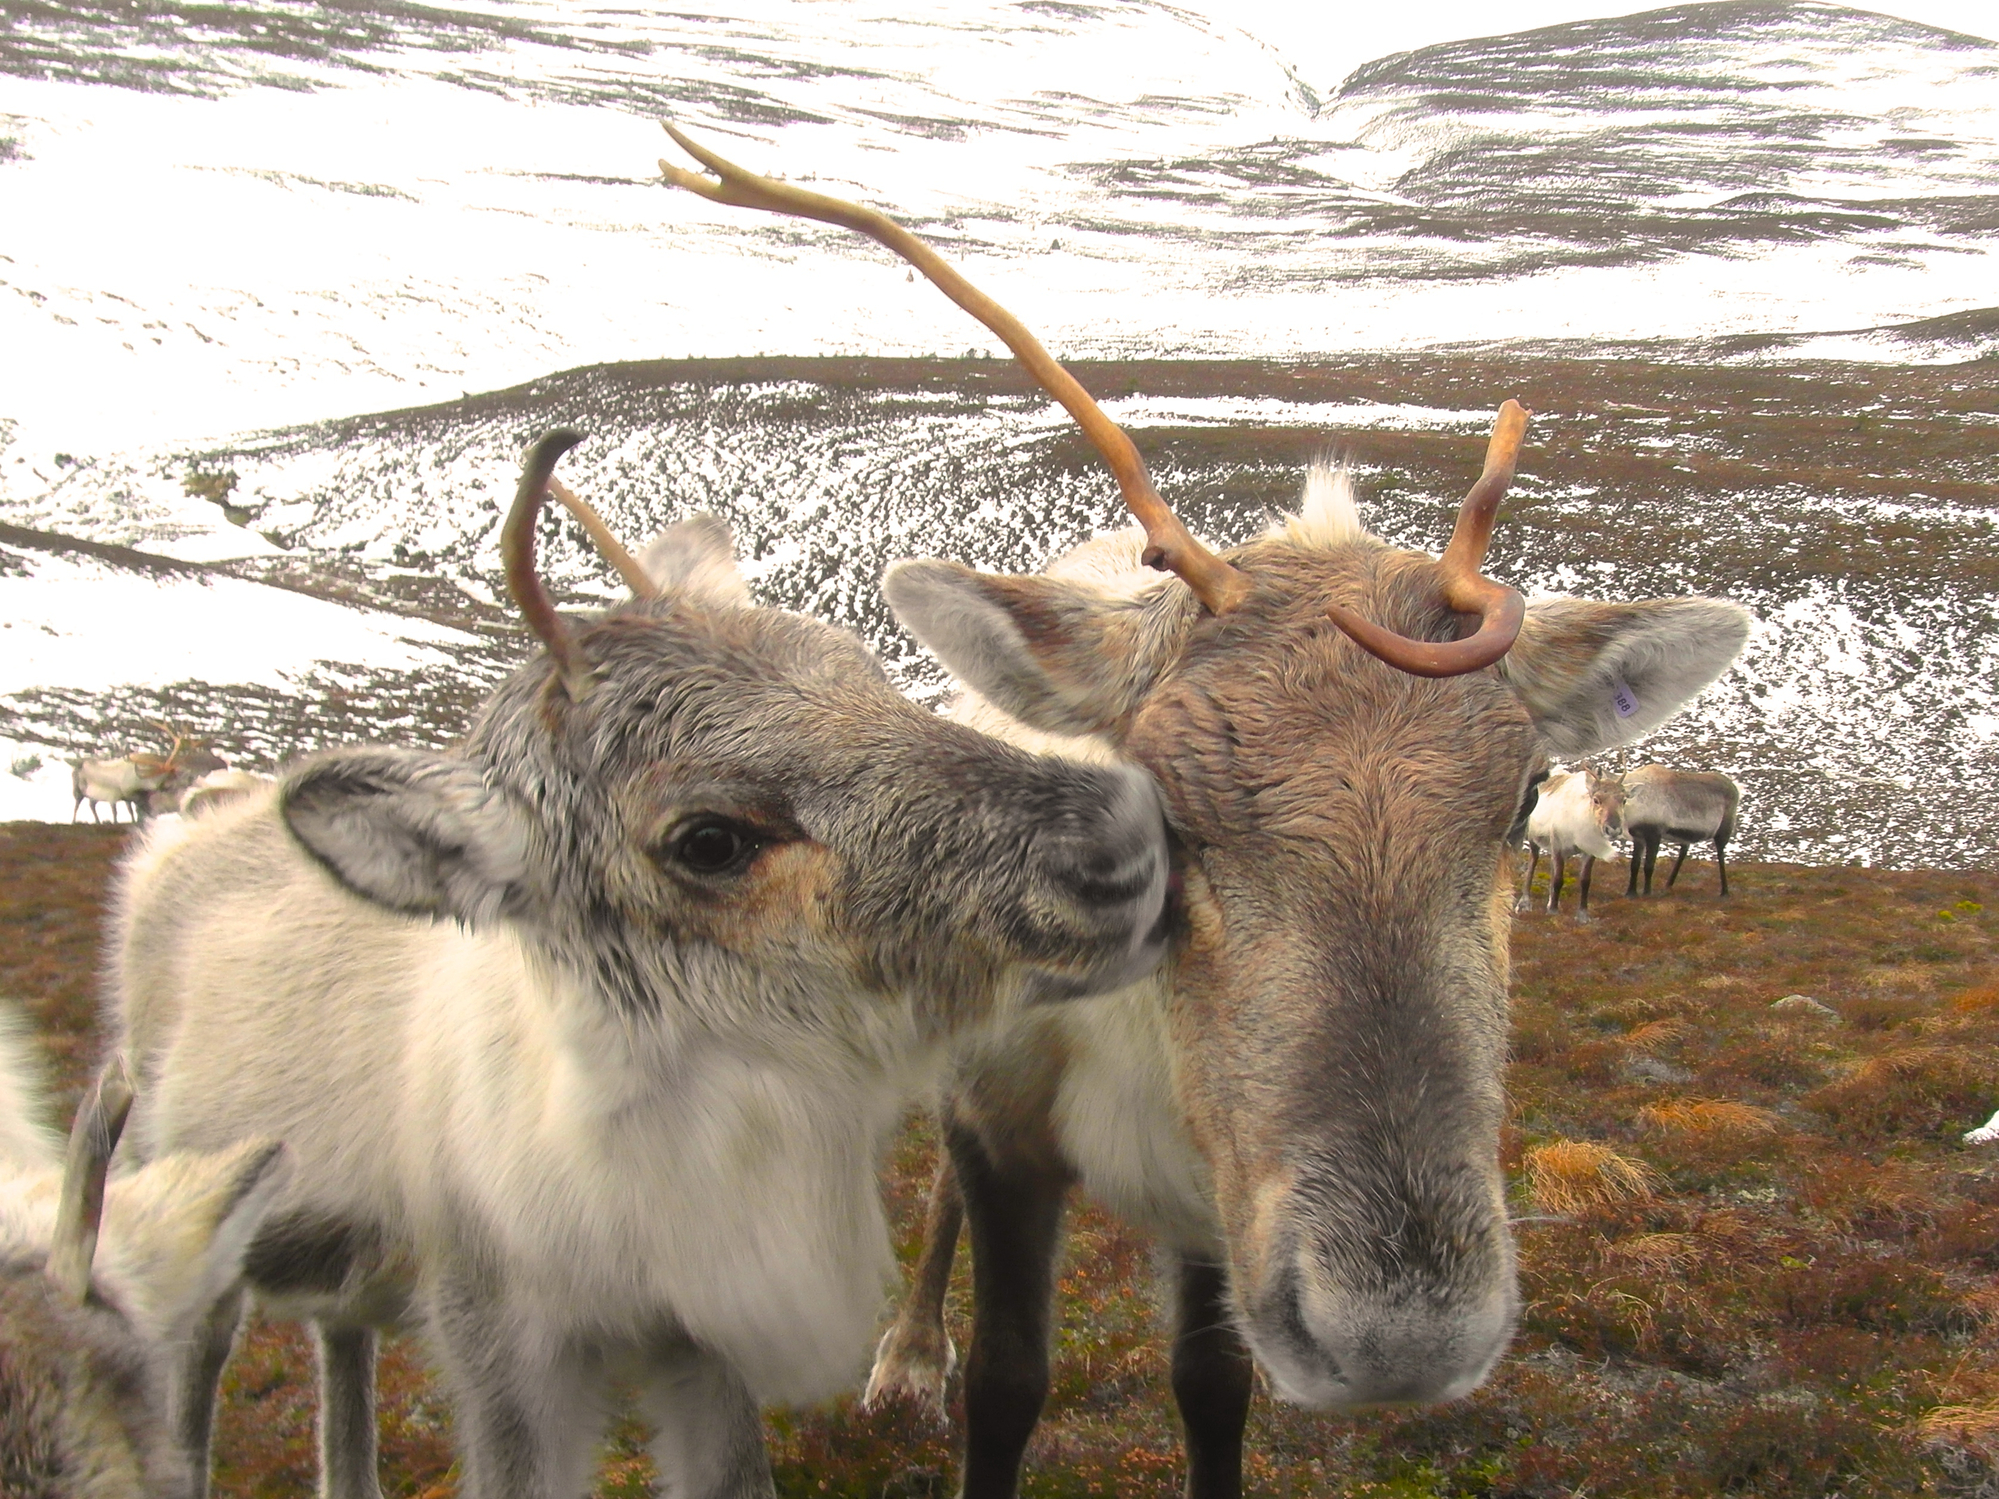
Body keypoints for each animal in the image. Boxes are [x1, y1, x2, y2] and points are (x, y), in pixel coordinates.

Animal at [106, 435, 1172, 1499]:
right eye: (709, 839)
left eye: (864, 669)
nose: (1128, 835)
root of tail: (190, 826)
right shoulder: (498, 1343)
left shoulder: (707, 1339)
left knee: (340, 1339)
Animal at [1518, 766, 1627, 917]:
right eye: (1596, 800)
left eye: (1624, 800)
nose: (1613, 829)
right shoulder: (1558, 844)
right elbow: (1558, 879)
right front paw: (1553, 911)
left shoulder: (1589, 851)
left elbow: (1585, 880)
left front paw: (1582, 914)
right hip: (1533, 838)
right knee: (1532, 863)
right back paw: (1524, 903)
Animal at [1622, 763, 1741, 896]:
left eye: (1623, 798)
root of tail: (1734, 787)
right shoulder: (1638, 836)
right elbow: (1634, 864)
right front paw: (1630, 893)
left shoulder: (1655, 833)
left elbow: (1649, 865)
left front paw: (1647, 893)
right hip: (1686, 836)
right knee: (1684, 850)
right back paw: (1668, 885)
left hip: (1725, 828)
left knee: (1720, 853)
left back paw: (1724, 891)